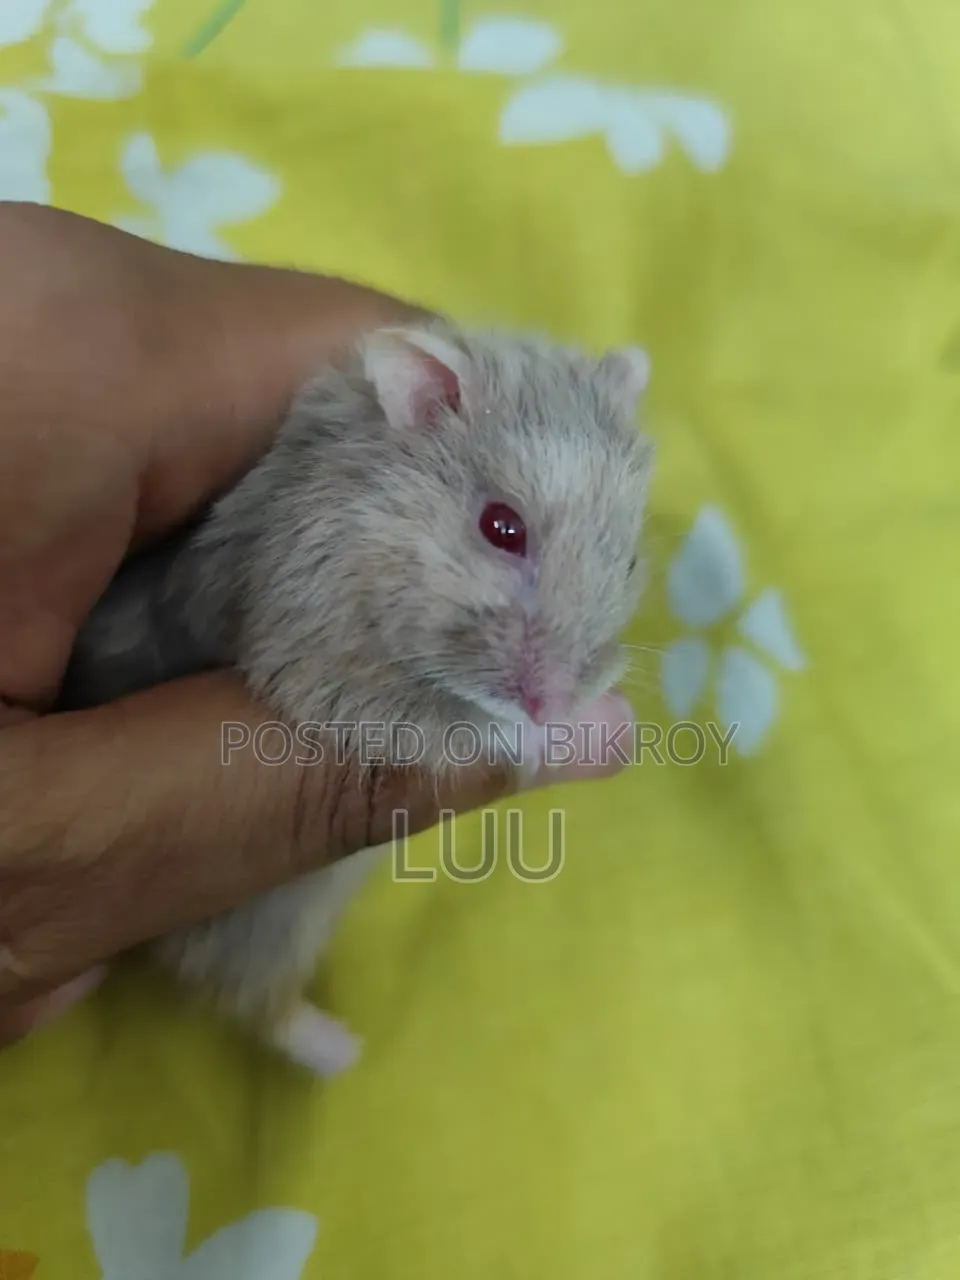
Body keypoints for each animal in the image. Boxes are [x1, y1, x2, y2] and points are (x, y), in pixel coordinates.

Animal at [58, 317, 655, 1076]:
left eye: (630, 560)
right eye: (502, 527)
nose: (554, 702)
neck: (382, 538)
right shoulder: (317, 662)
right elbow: (455, 724)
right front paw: (593, 728)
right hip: (263, 923)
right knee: (253, 1001)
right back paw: (343, 1052)